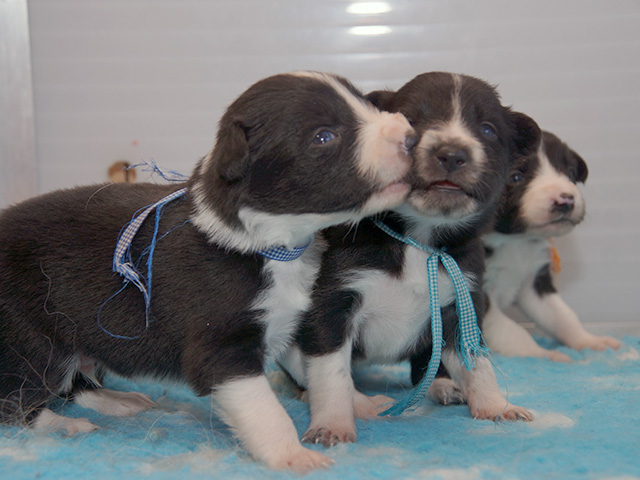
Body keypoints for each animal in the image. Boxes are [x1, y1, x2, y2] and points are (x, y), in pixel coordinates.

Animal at [0, 71, 416, 472]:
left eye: (366, 104)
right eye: (324, 136)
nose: (411, 137)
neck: (271, 245)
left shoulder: (291, 322)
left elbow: (327, 372)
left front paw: (356, 406)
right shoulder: (222, 349)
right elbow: (267, 409)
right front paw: (292, 456)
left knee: (75, 380)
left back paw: (116, 400)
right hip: (34, 342)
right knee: (16, 400)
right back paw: (60, 425)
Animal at [278, 72, 541, 447]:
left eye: (488, 129)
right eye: (410, 121)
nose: (452, 154)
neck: (420, 240)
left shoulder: (462, 301)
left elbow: (477, 364)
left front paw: (495, 406)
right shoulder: (332, 302)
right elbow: (331, 372)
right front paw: (332, 425)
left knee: (426, 366)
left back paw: (444, 385)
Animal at [481, 130, 622, 361]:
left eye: (570, 173)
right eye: (516, 177)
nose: (566, 201)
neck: (513, 240)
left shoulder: (534, 281)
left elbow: (563, 316)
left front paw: (590, 341)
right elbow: (512, 332)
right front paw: (544, 355)